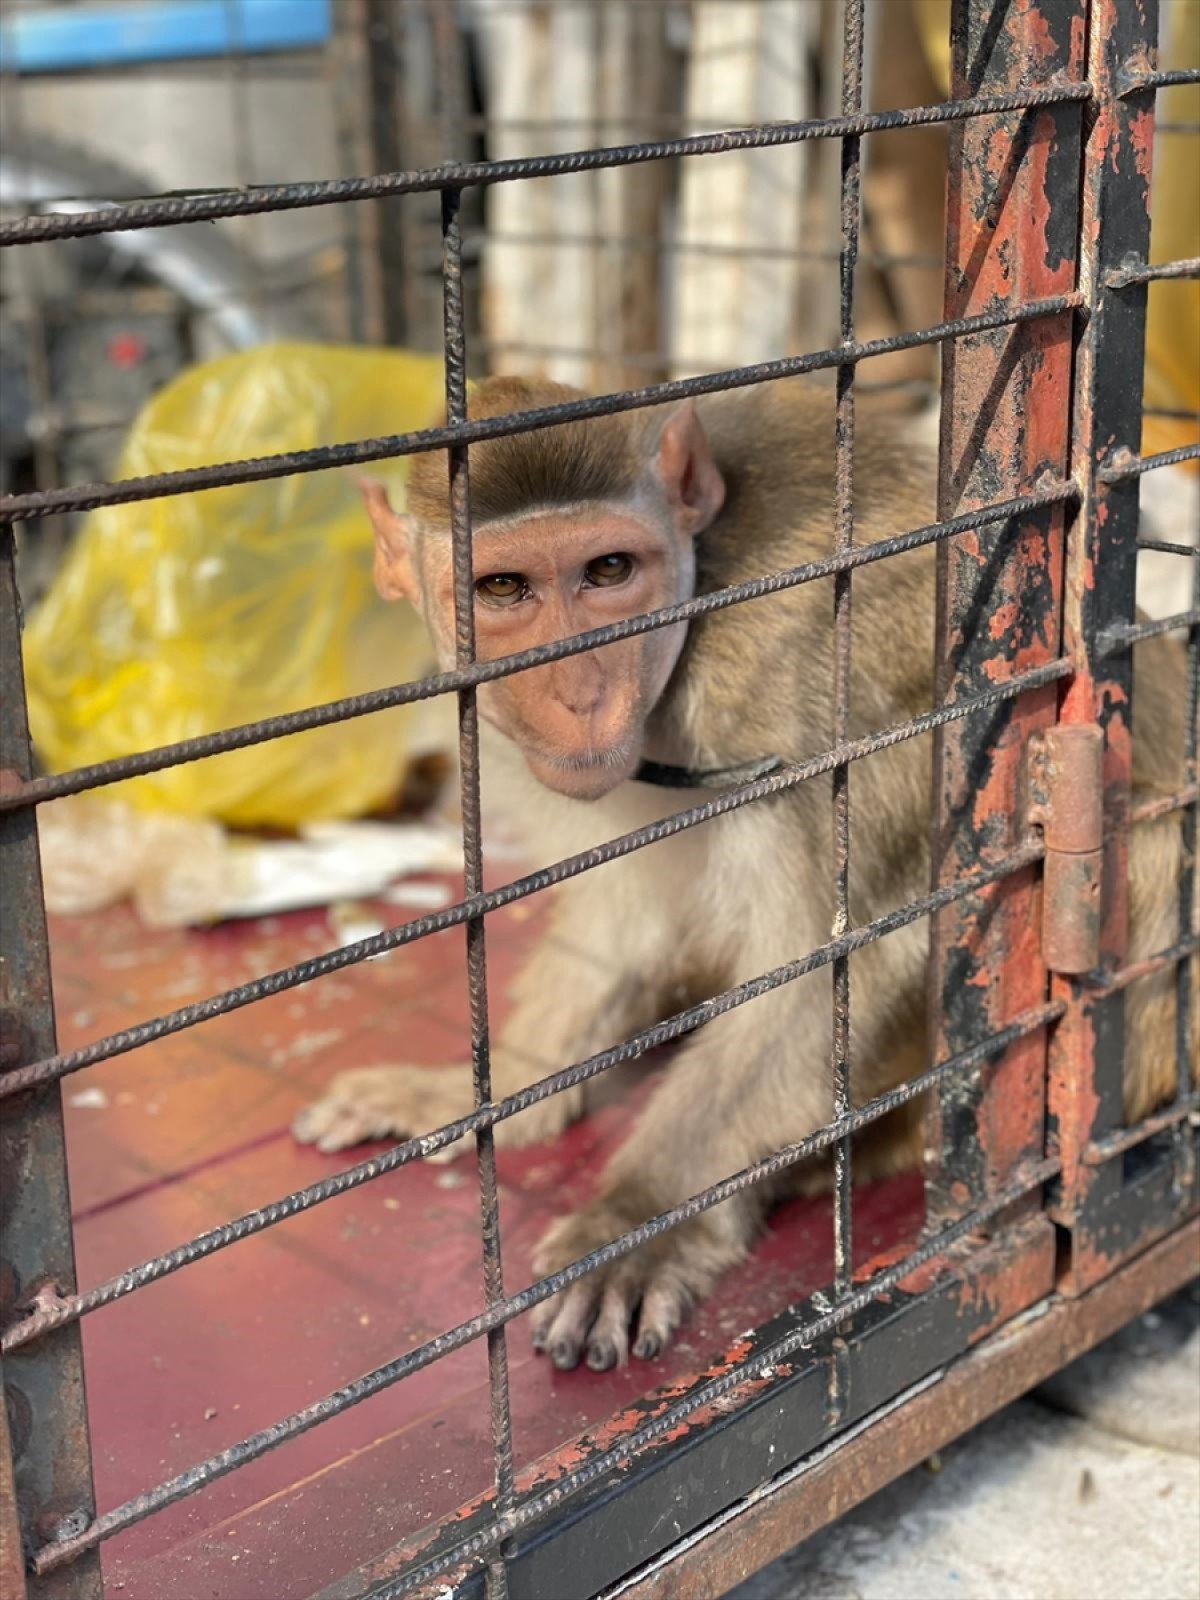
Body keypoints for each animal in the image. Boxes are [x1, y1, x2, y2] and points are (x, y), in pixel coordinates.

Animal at [294, 368, 1200, 1369]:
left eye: (608, 572)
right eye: (503, 588)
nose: (577, 689)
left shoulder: (806, 688)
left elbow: (832, 962)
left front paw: (638, 1222)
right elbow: (620, 927)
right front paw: (479, 1096)